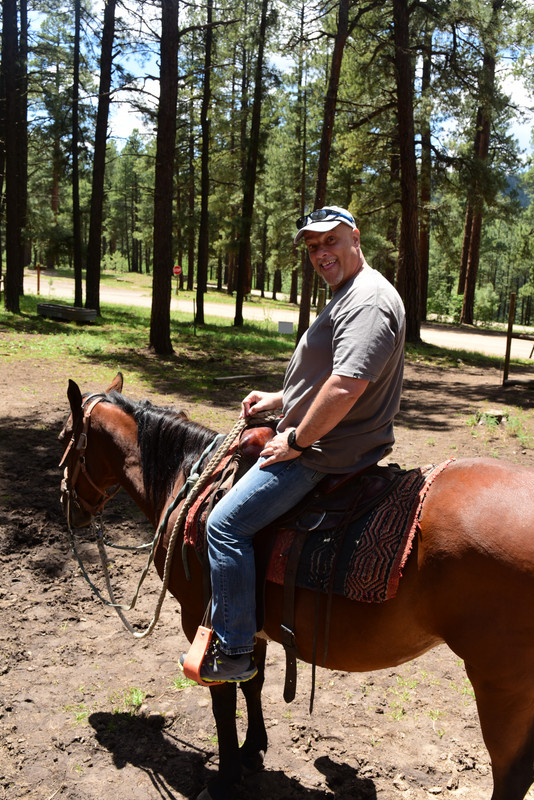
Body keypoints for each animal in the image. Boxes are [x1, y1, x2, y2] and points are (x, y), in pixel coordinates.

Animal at [59, 376, 534, 800]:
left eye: (65, 435)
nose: (68, 505)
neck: (188, 483)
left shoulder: (202, 619)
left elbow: (222, 699)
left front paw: (226, 778)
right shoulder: (246, 620)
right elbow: (251, 681)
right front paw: (253, 751)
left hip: (501, 684)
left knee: (511, 773)